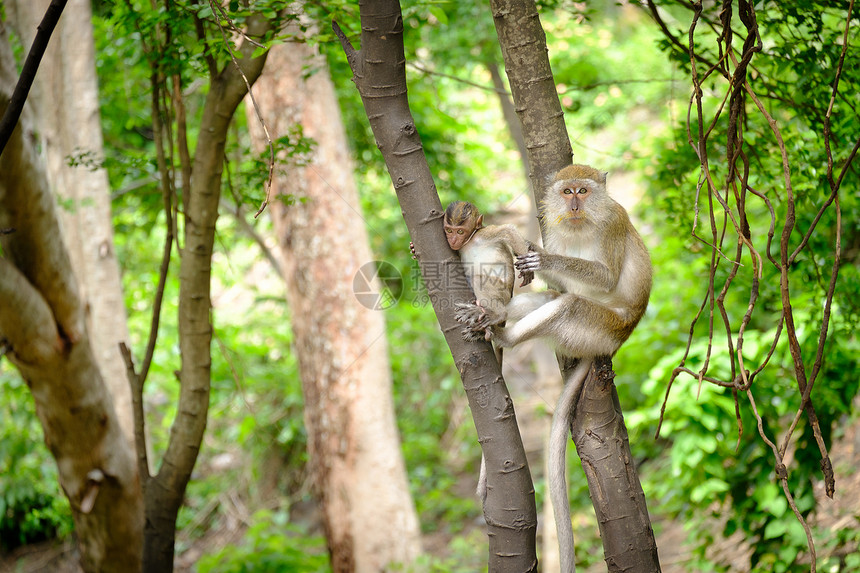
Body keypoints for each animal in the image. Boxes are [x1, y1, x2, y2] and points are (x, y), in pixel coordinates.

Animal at [456, 164, 652, 572]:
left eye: (583, 190)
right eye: (566, 192)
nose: (575, 204)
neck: (582, 224)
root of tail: (615, 343)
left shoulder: (614, 222)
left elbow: (606, 277)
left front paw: (542, 259)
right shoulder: (556, 226)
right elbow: (553, 283)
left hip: (598, 327)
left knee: (569, 305)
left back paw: (504, 336)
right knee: (552, 298)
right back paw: (494, 317)